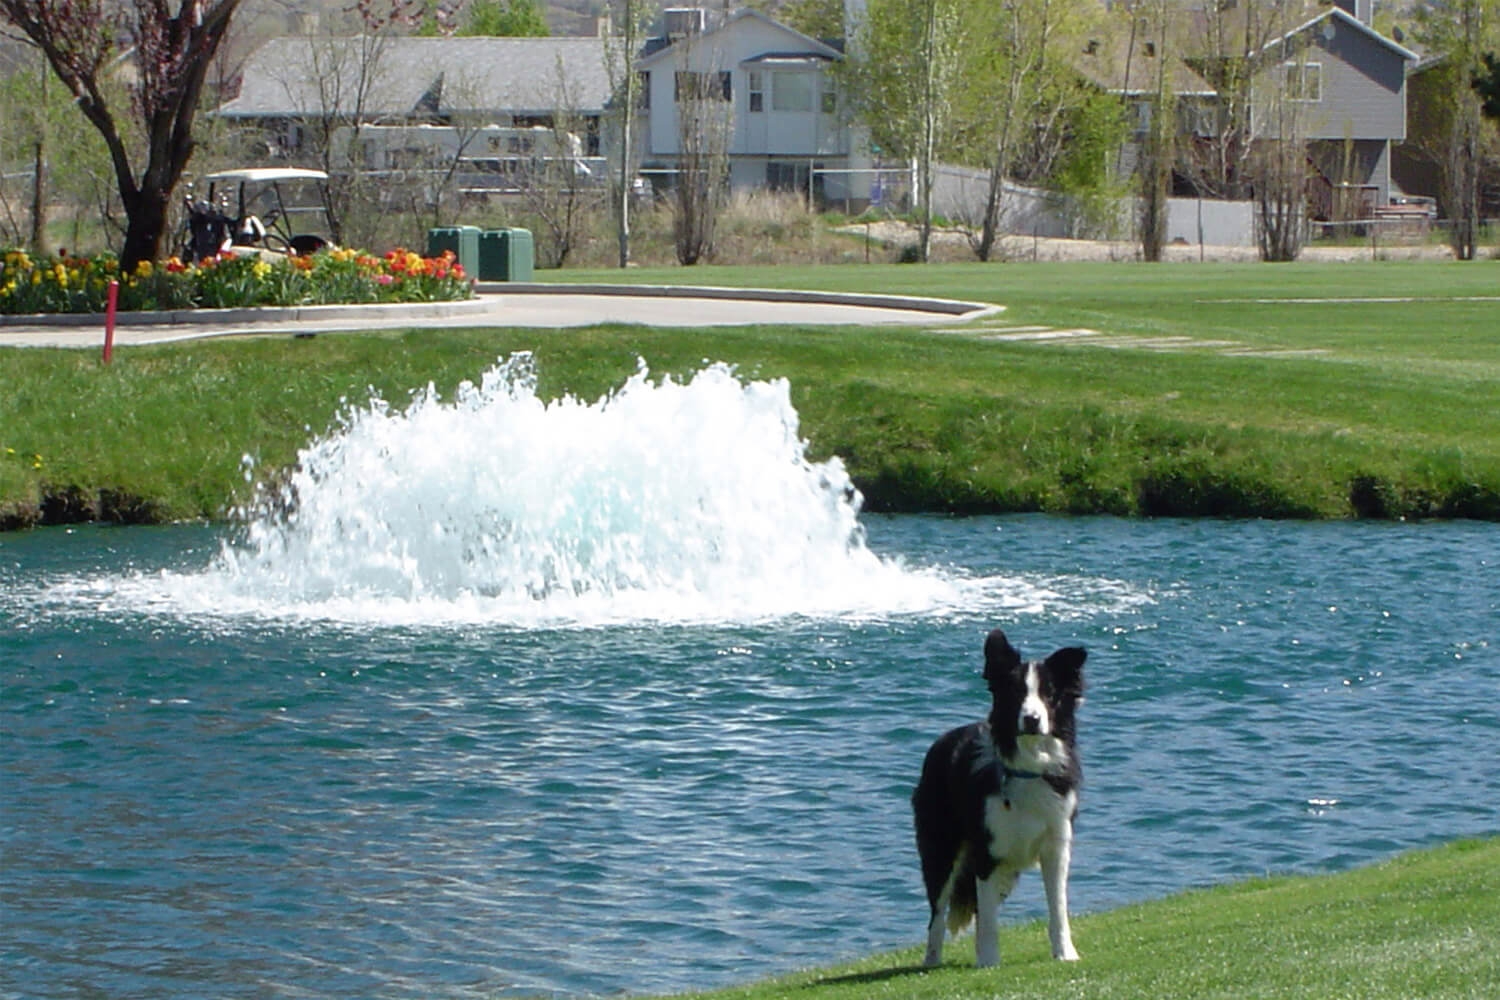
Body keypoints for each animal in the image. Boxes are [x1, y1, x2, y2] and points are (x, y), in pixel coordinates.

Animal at [906, 629, 1086, 965]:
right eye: (1016, 692)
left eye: (1049, 694)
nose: (1031, 719)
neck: (1027, 768)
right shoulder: (986, 851)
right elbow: (987, 918)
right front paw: (989, 962)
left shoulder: (1056, 845)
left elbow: (1058, 907)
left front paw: (1065, 953)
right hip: (942, 850)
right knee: (938, 914)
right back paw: (932, 960)